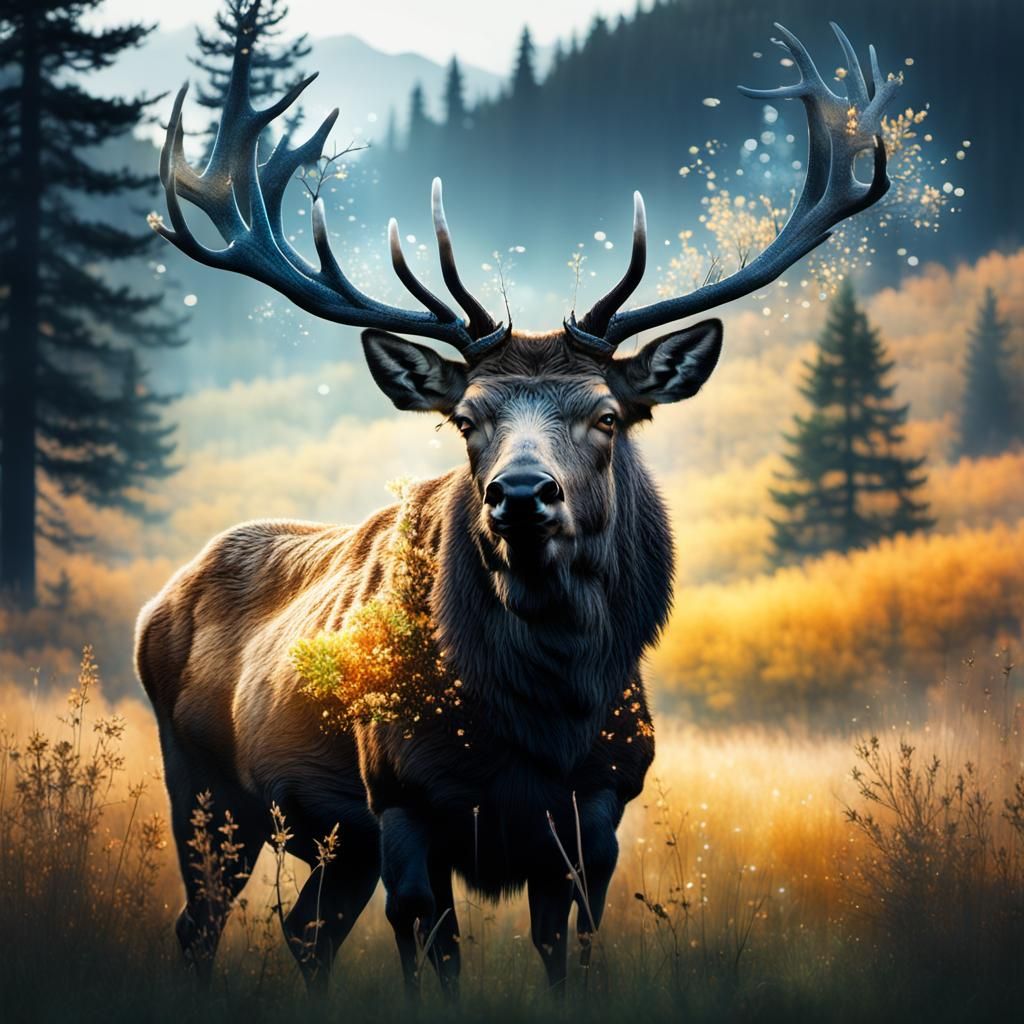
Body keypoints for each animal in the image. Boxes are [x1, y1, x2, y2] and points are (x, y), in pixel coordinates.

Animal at [136, 5, 898, 997]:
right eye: (466, 418)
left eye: (608, 413)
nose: (522, 493)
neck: (542, 718)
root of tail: (158, 602)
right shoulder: (405, 801)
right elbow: (435, 954)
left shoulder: (600, 808)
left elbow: (567, 952)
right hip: (205, 787)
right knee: (199, 924)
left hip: (332, 841)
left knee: (306, 930)